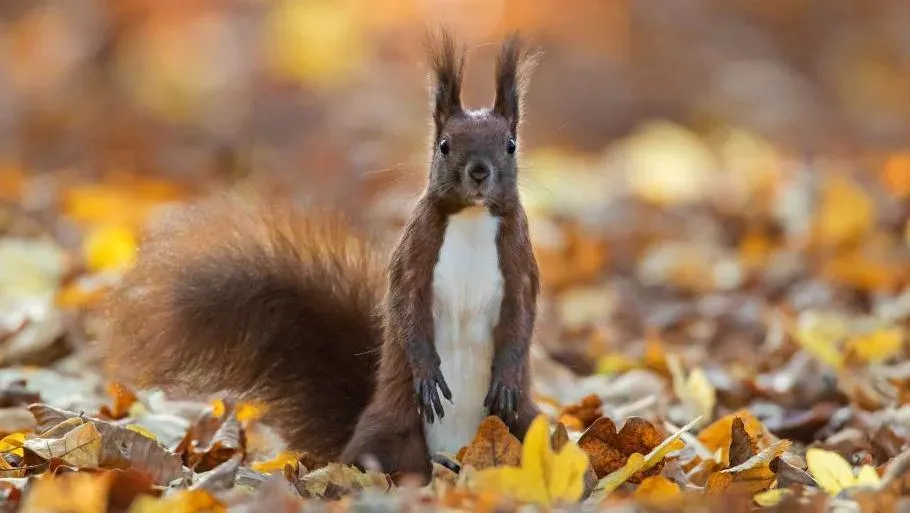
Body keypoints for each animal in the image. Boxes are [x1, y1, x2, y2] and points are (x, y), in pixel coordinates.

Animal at [102, 30, 541, 483]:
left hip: (526, 425)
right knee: (370, 460)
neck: (472, 217)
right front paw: (426, 373)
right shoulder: (413, 256)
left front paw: (506, 377)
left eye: (510, 145)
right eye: (444, 145)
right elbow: (406, 309)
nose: (479, 172)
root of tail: (456, 458)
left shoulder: (521, 263)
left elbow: (522, 318)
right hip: (389, 429)